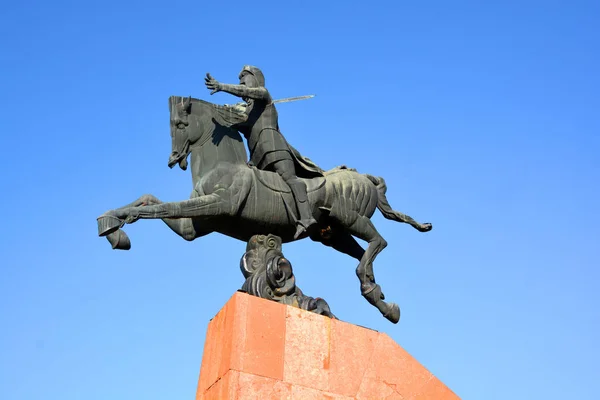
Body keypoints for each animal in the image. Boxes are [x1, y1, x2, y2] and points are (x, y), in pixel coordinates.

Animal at [97, 96, 432, 322]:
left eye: (181, 124)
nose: (172, 158)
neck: (221, 167)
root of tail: (364, 177)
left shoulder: (217, 205)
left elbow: (160, 208)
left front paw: (117, 227)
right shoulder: (194, 227)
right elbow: (151, 201)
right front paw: (111, 226)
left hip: (349, 219)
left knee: (379, 241)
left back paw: (373, 290)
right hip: (332, 234)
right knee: (365, 251)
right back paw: (381, 298)